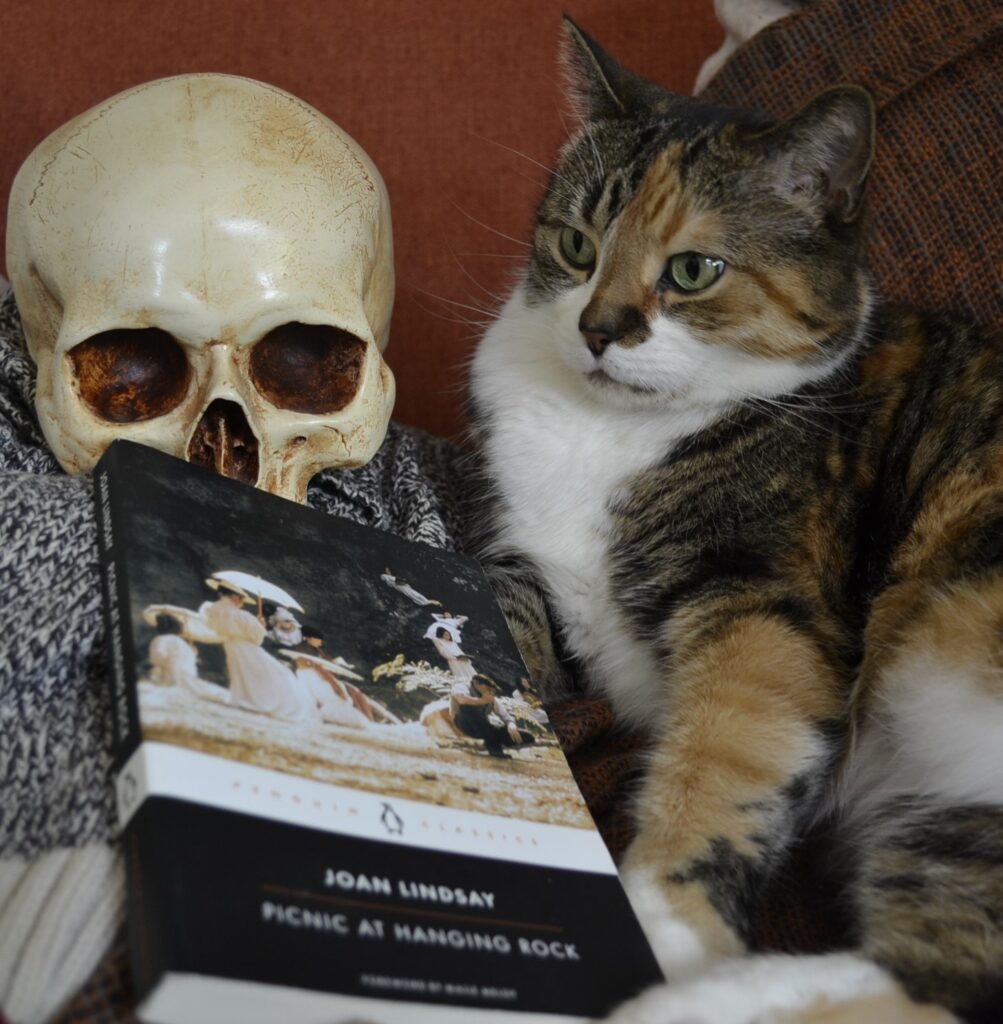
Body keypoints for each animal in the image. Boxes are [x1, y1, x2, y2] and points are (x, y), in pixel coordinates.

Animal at [469, 16, 1003, 1024]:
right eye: (575, 244)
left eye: (692, 270)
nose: (596, 327)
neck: (613, 435)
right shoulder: (532, 574)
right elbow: (500, 624)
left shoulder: (764, 607)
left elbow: (723, 757)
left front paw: (657, 920)